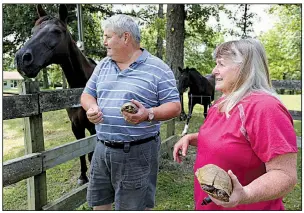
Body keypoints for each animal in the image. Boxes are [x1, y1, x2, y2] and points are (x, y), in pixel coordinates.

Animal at [15, 4, 96, 185]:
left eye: (56, 31)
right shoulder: (76, 126)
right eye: (33, 30)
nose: (22, 58)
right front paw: (82, 176)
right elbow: (80, 152)